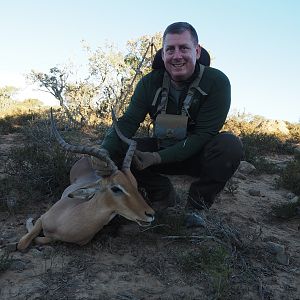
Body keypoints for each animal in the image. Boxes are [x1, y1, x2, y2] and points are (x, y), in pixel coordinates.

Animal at [17, 109, 155, 250]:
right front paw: (29, 220)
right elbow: (22, 243)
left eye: (135, 184)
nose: (150, 214)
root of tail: (85, 158)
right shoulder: (43, 218)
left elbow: (39, 239)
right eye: (116, 188)